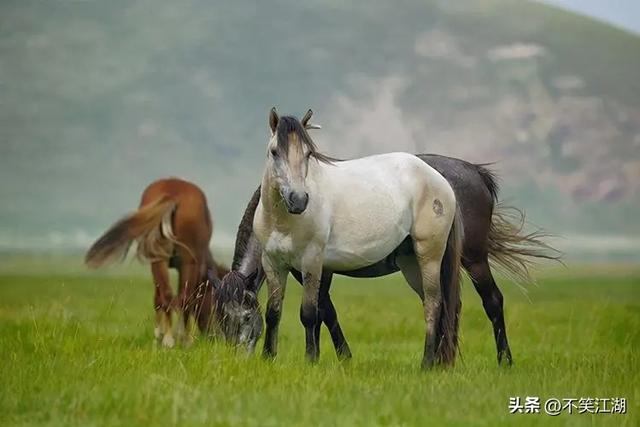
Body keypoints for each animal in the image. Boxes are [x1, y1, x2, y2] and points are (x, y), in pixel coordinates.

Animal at [85, 177, 229, 348]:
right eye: (217, 303)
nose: (217, 336)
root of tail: (173, 194)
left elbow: (158, 298)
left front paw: (158, 335)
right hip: (186, 260)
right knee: (182, 297)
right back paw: (180, 339)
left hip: (160, 259)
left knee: (168, 295)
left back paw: (168, 339)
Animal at [218, 155, 556, 366]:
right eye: (222, 321)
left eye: (246, 318)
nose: (237, 360)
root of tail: (475, 173)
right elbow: (325, 311)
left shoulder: (317, 269)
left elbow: (323, 311)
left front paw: (341, 356)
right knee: (448, 304)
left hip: (473, 259)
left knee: (492, 301)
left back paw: (504, 360)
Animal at [252, 108, 462, 368]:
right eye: (274, 152)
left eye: (308, 153)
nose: (298, 200)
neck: (283, 222)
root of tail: (440, 181)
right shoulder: (272, 263)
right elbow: (273, 312)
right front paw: (267, 358)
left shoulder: (311, 261)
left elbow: (309, 313)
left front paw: (310, 360)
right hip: (411, 264)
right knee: (433, 305)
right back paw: (436, 363)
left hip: (429, 257)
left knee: (433, 305)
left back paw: (426, 364)